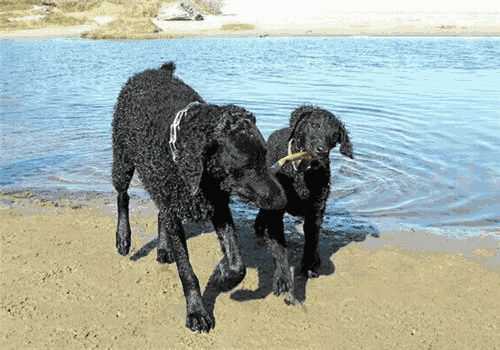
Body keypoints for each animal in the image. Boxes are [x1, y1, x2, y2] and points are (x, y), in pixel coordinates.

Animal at [112, 61, 286, 332]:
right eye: (246, 166)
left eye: (265, 154)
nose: (282, 200)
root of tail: (155, 71)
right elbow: (187, 271)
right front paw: (196, 312)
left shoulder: (218, 206)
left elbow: (237, 264)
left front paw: (221, 276)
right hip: (122, 159)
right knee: (122, 197)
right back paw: (123, 238)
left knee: (161, 213)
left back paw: (164, 249)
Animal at [254, 106, 352, 296]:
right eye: (314, 125)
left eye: (335, 134)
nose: (321, 150)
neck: (302, 172)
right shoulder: (277, 213)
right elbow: (280, 247)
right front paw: (282, 278)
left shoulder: (315, 211)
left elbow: (311, 242)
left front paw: (308, 267)